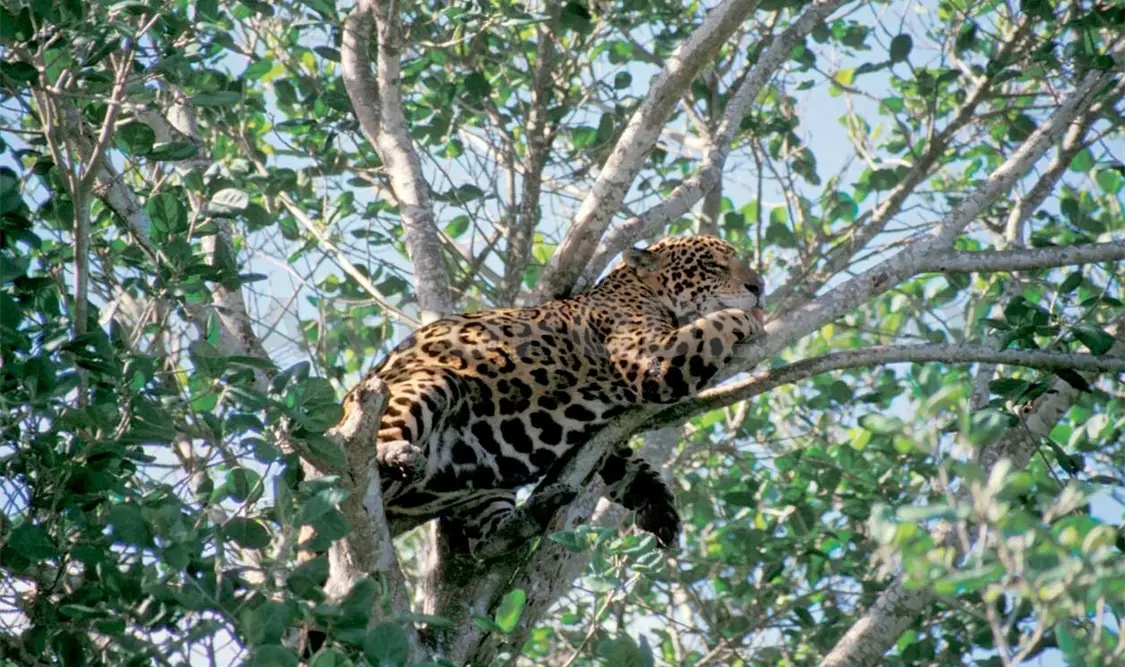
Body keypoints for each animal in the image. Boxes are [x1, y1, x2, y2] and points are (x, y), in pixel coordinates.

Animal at [342, 234, 766, 555]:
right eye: (713, 266)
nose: (759, 287)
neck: (638, 288)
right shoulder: (650, 355)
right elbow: (715, 324)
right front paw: (749, 320)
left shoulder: (606, 438)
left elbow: (632, 466)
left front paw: (660, 509)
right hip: (426, 383)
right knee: (368, 448)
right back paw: (392, 454)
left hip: (481, 485)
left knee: (485, 543)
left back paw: (532, 516)